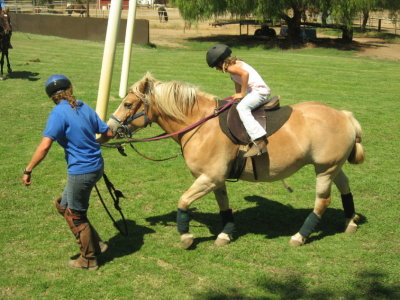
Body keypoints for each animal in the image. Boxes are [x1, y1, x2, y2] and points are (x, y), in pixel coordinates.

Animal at [107, 72, 366, 248]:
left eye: (127, 104)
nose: (108, 129)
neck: (200, 124)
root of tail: (345, 116)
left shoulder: (209, 177)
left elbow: (183, 201)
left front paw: (186, 236)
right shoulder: (217, 179)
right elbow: (224, 205)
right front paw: (225, 233)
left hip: (324, 170)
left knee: (323, 201)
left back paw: (299, 236)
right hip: (332, 167)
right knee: (345, 187)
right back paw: (350, 222)